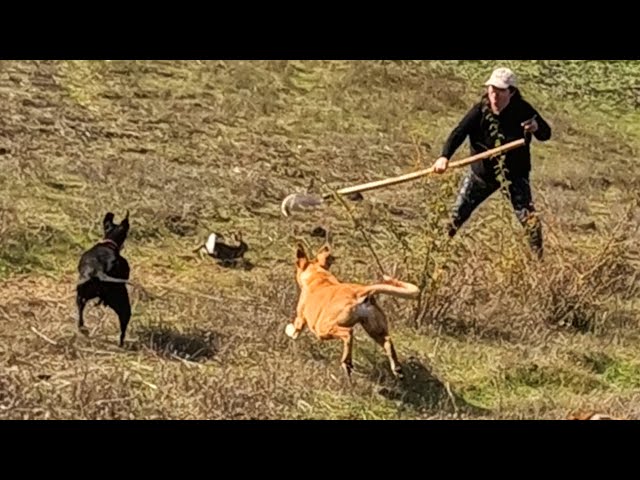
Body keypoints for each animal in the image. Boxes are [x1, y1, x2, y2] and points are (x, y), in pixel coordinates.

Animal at [76, 210, 131, 344]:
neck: (109, 242)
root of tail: (99, 272)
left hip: (81, 294)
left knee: (80, 311)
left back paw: (83, 328)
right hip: (123, 303)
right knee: (123, 329)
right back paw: (121, 344)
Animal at [284, 244, 420, 378]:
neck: (318, 276)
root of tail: (360, 291)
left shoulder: (300, 319)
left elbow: (293, 332)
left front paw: (289, 331)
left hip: (323, 328)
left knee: (348, 333)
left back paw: (347, 362)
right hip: (375, 329)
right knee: (387, 341)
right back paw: (397, 369)